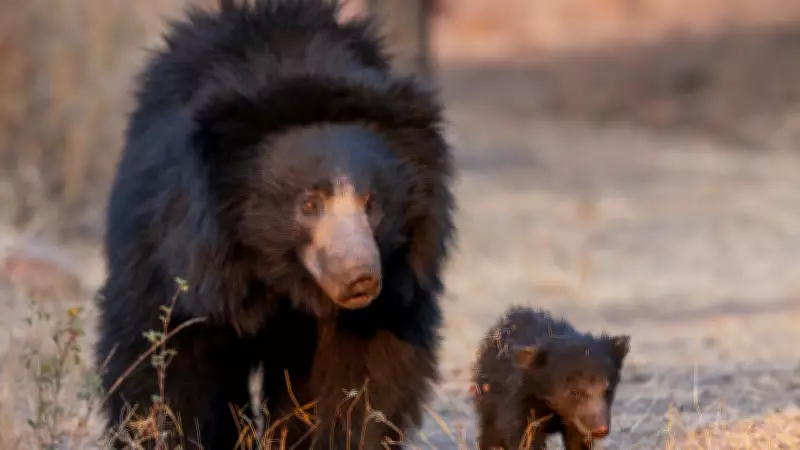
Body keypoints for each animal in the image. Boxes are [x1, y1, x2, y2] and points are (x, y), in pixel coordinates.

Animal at [94, 0, 454, 448]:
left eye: (372, 204)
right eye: (309, 204)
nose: (361, 279)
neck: (278, 276)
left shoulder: (395, 289)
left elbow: (368, 373)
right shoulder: (175, 255)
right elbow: (164, 356)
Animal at [472, 307, 630, 450]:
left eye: (608, 392)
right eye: (574, 392)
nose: (600, 429)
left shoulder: (575, 422)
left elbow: (577, 440)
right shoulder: (519, 400)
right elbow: (524, 434)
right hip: (488, 401)